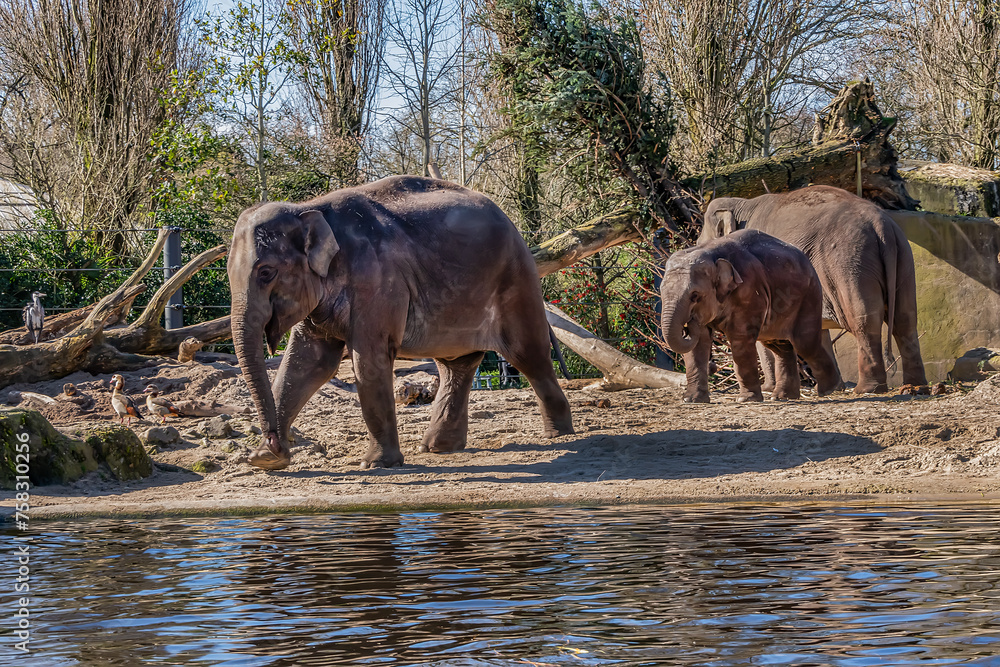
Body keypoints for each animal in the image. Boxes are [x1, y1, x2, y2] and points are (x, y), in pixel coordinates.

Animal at [227, 175, 574, 470]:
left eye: (266, 272)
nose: (276, 444)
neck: (306, 208)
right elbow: (306, 363)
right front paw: (263, 460)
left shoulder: (377, 280)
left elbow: (368, 360)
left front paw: (377, 465)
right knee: (456, 365)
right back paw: (437, 448)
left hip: (516, 280)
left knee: (528, 354)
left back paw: (558, 434)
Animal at [661, 229, 842, 403]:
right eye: (661, 292)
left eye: (695, 295)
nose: (688, 324)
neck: (709, 251)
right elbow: (699, 344)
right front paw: (691, 400)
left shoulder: (749, 293)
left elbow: (740, 340)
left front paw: (746, 399)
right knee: (780, 346)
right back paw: (782, 396)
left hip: (809, 297)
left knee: (804, 343)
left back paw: (828, 390)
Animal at [701, 185, 926, 394]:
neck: (742, 204)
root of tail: (881, 226)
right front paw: (831, 388)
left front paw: (768, 389)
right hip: (904, 258)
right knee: (905, 319)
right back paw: (915, 387)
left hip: (850, 263)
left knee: (865, 320)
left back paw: (867, 389)